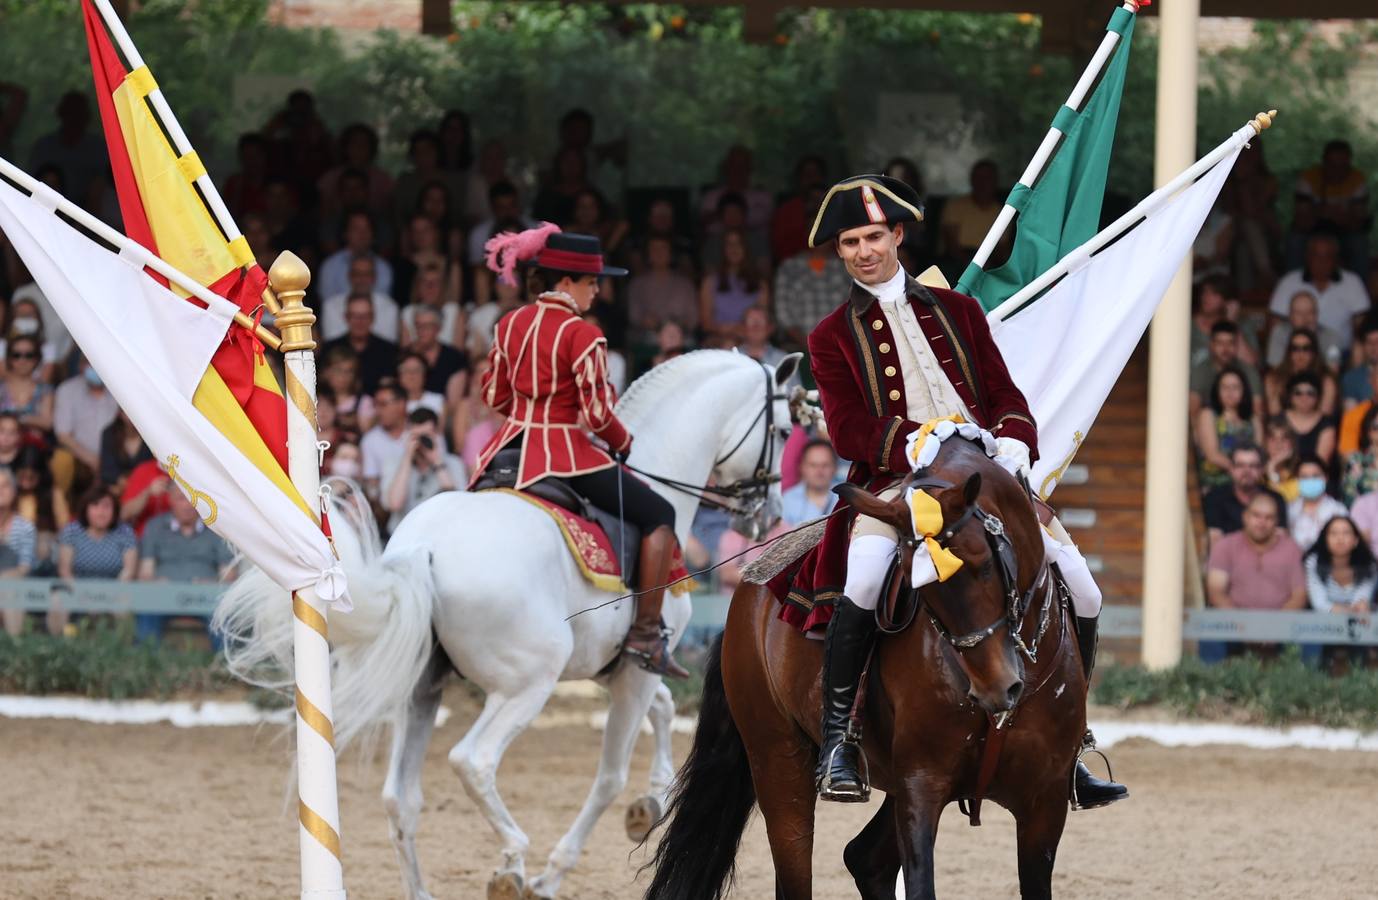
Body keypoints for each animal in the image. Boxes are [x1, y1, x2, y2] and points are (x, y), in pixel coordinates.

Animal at [210, 347, 804, 893]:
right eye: (781, 428)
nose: (770, 513)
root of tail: (424, 548)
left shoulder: (620, 668)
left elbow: (660, 711)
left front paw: (650, 802)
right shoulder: (637, 667)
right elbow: (610, 774)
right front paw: (557, 869)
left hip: (422, 690)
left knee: (401, 799)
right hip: (526, 685)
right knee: (473, 761)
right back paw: (513, 862)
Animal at [644, 432, 1085, 893]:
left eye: (984, 565)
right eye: (921, 589)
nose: (997, 689)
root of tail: (752, 579)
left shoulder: (1046, 802)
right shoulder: (920, 787)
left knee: (866, 859)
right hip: (777, 757)